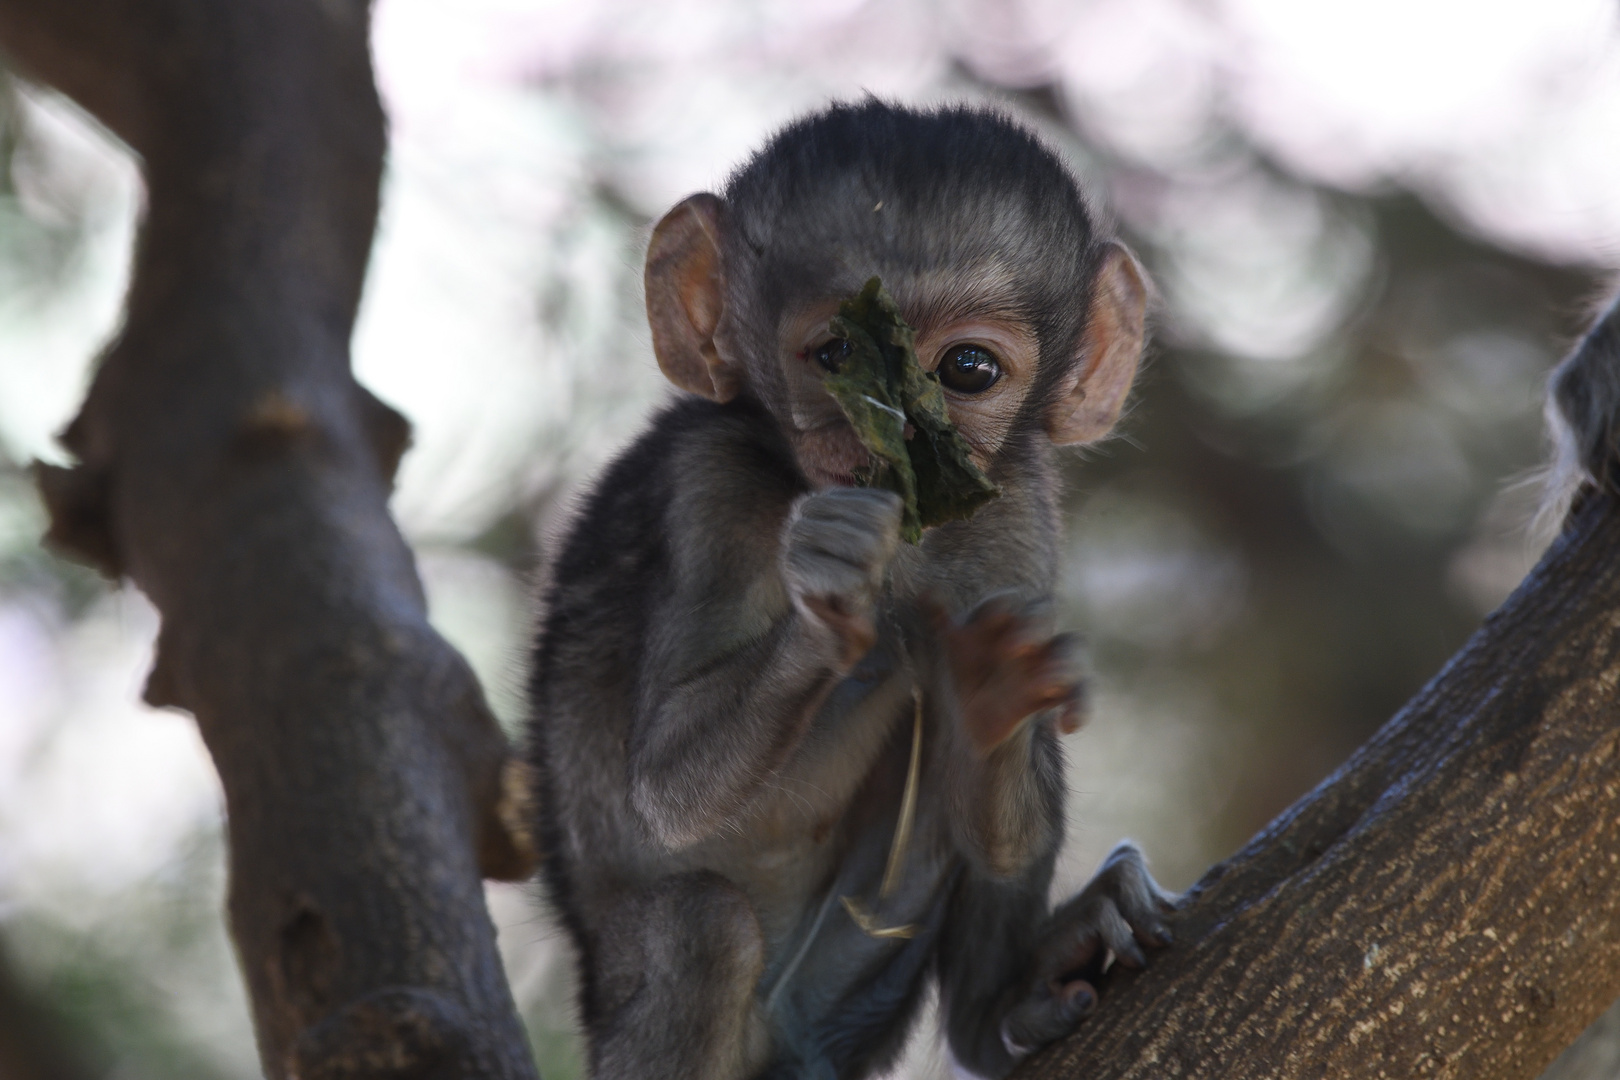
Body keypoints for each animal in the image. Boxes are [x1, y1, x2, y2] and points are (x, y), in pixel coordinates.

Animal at [531, 103, 1179, 1080]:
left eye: (968, 370)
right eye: (835, 354)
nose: (895, 444)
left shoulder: (1016, 517)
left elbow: (1003, 809)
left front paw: (989, 694)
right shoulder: (706, 487)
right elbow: (669, 791)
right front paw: (832, 582)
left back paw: (1004, 1006)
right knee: (698, 925)